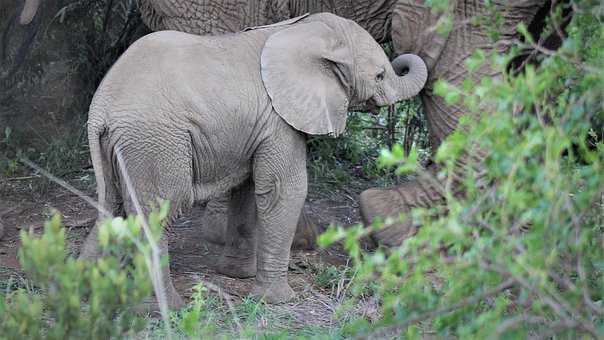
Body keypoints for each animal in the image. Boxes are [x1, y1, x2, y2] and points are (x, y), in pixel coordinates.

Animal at [81, 11, 430, 306]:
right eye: (380, 75)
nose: (401, 58)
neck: (304, 30)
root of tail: (101, 110)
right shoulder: (279, 121)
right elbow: (284, 190)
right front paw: (279, 301)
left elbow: (247, 190)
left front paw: (238, 275)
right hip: (155, 142)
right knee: (158, 212)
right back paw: (166, 308)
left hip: (121, 146)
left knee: (110, 207)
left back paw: (85, 291)